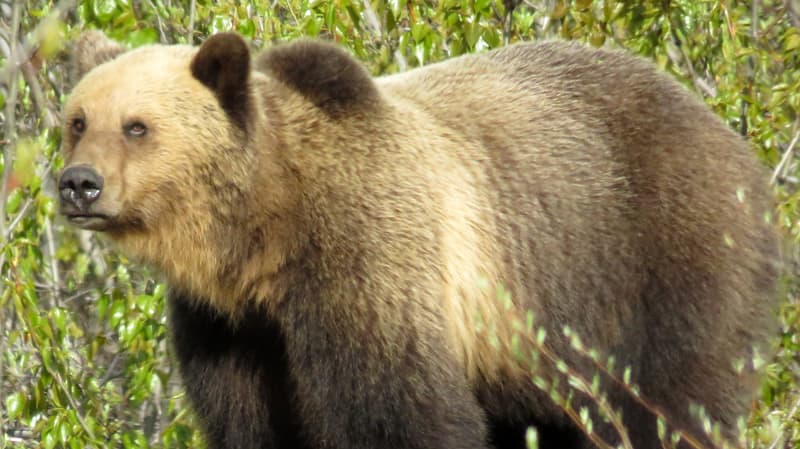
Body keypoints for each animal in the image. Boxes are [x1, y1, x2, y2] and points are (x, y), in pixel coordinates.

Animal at [57, 31, 780, 448]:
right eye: (78, 119)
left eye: (137, 126)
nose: (79, 185)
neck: (261, 233)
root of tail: (728, 136)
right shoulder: (229, 329)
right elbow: (250, 420)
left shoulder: (368, 260)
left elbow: (399, 409)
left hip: (660, 257)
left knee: (669, 403)